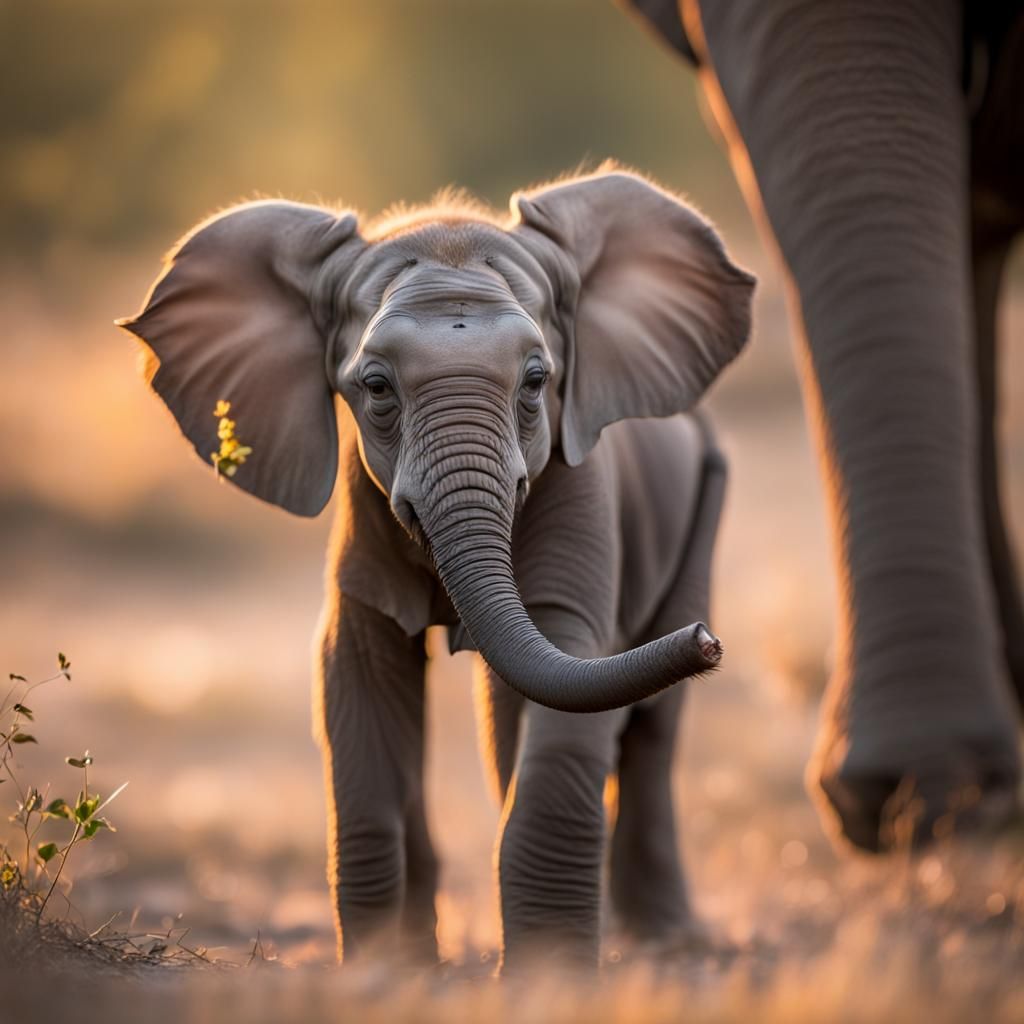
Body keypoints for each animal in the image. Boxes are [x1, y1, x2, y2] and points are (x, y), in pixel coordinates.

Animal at [118, 170, 754, 969]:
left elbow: (570, 659)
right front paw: (384, 972)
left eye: (537, 381)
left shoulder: (583, 492)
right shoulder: (361, 518)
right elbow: (358, 674)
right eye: (376, 387)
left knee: (645, 732)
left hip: (709, 491)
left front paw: (549, 979)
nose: (708, 642)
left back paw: (665, 943)